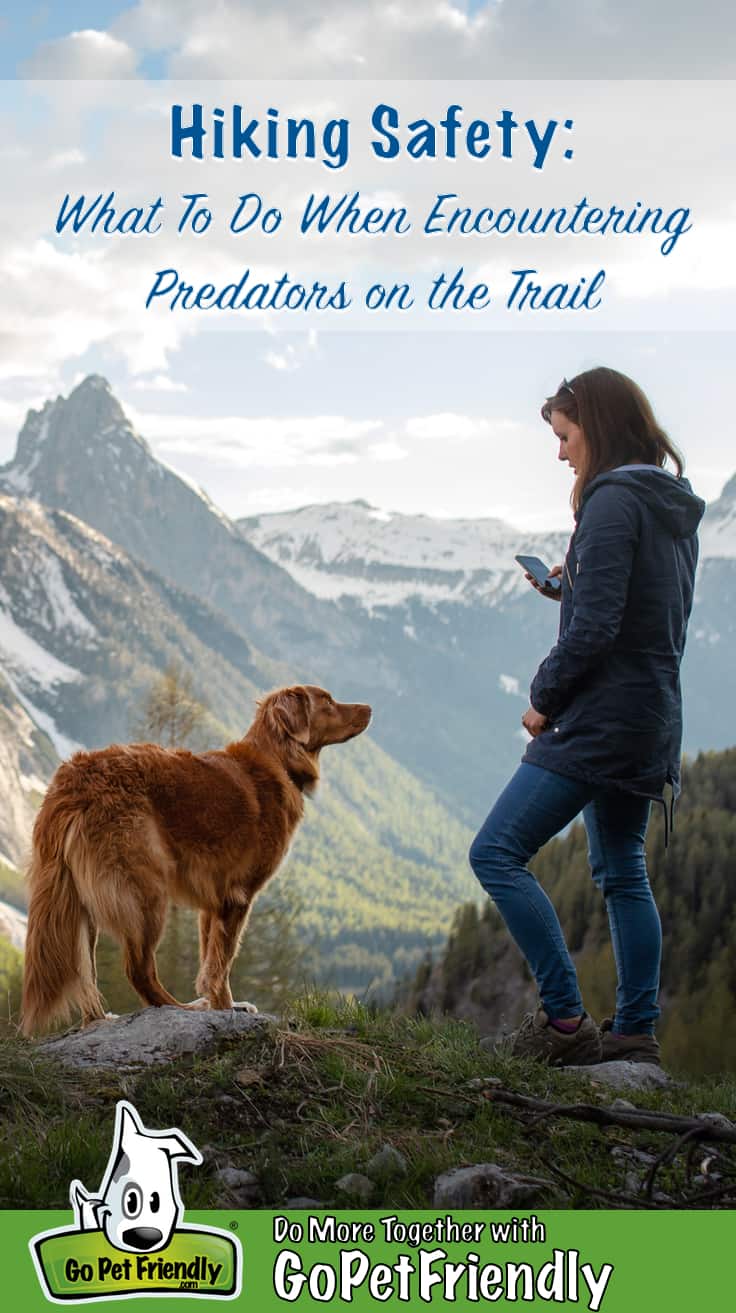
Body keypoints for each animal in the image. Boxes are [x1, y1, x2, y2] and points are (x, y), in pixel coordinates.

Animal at [20, 688, 369, 1034]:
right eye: (328, 702)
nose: (369, 708)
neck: (277, 759)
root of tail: (73, 781)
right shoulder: (238, 896)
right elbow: (222, 963)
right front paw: (225, 1007)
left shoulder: (212, 903)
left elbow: (209, 957)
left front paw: (222, 1005)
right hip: (145, 894)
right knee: (138, 970)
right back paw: (183, 1008)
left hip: (78, 900)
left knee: (85, 974)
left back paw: (101, 1019)